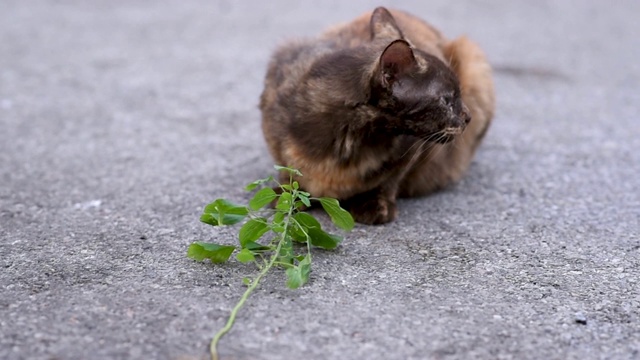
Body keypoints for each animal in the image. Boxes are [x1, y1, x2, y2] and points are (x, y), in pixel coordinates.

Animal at [260, 7, 496, 224]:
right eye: (446, 100)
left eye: (457, 95)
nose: (468, 117)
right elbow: (287, 168)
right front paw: (287, 195)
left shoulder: (410, 151)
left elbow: (388, 180)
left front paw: (375, 204)